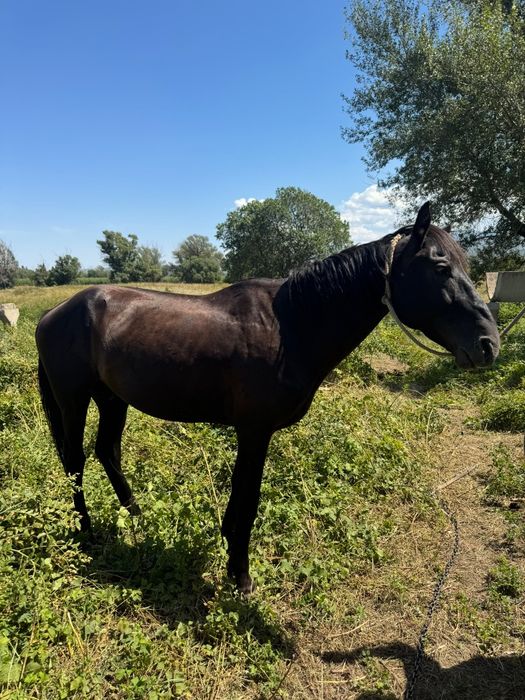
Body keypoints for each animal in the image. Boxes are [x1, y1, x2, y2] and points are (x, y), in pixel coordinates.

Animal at [35, 203, 499, 594]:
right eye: (440, 267)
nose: (488, 344)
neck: (289, 327)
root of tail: (54, 312)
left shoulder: (251, 433)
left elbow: (240, 497)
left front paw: (228, 550)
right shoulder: (255, 431)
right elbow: (249, 500)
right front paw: (240, 576)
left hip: (113, 398)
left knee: (107, 452)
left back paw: (137, 516)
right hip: (74, 400)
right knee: (75, 461)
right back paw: (87, 531)